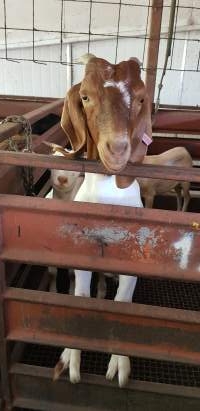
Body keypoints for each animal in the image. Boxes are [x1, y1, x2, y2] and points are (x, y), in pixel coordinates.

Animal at [52, 54, 152, 390]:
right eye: (85, 96)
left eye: (140, 98)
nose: (117, 148)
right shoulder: (81, 259)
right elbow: (80, 298)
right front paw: (71, 361)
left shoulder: (134, 262)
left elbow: (122, 303)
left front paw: (118, 366)